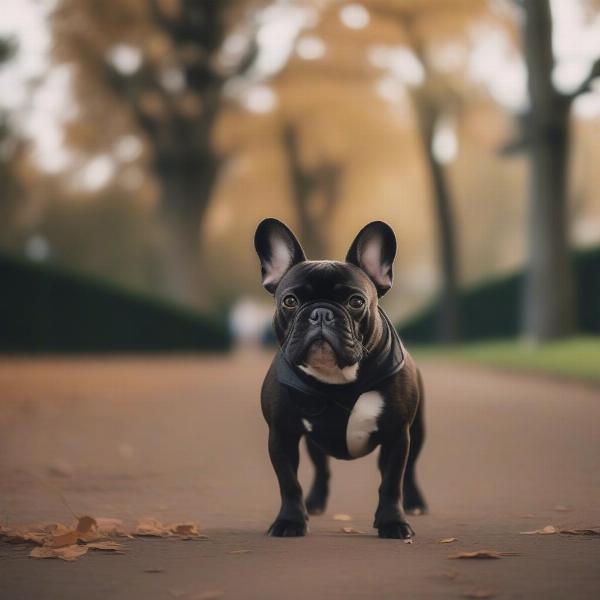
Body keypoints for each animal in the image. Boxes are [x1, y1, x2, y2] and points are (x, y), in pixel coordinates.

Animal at [254, 218, 426, 536]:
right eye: (290, 301)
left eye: (356, 302)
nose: (321, 313)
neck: (338, 381)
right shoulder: (281, 433)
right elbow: (289, 482)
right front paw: (290, 521)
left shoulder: (397, 434)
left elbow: (392, 482)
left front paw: (392, 522)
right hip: (315, 443)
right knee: (322, 469)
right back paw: (314, 503)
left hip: (417, 430)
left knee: (409, 471)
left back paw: (415, 503)